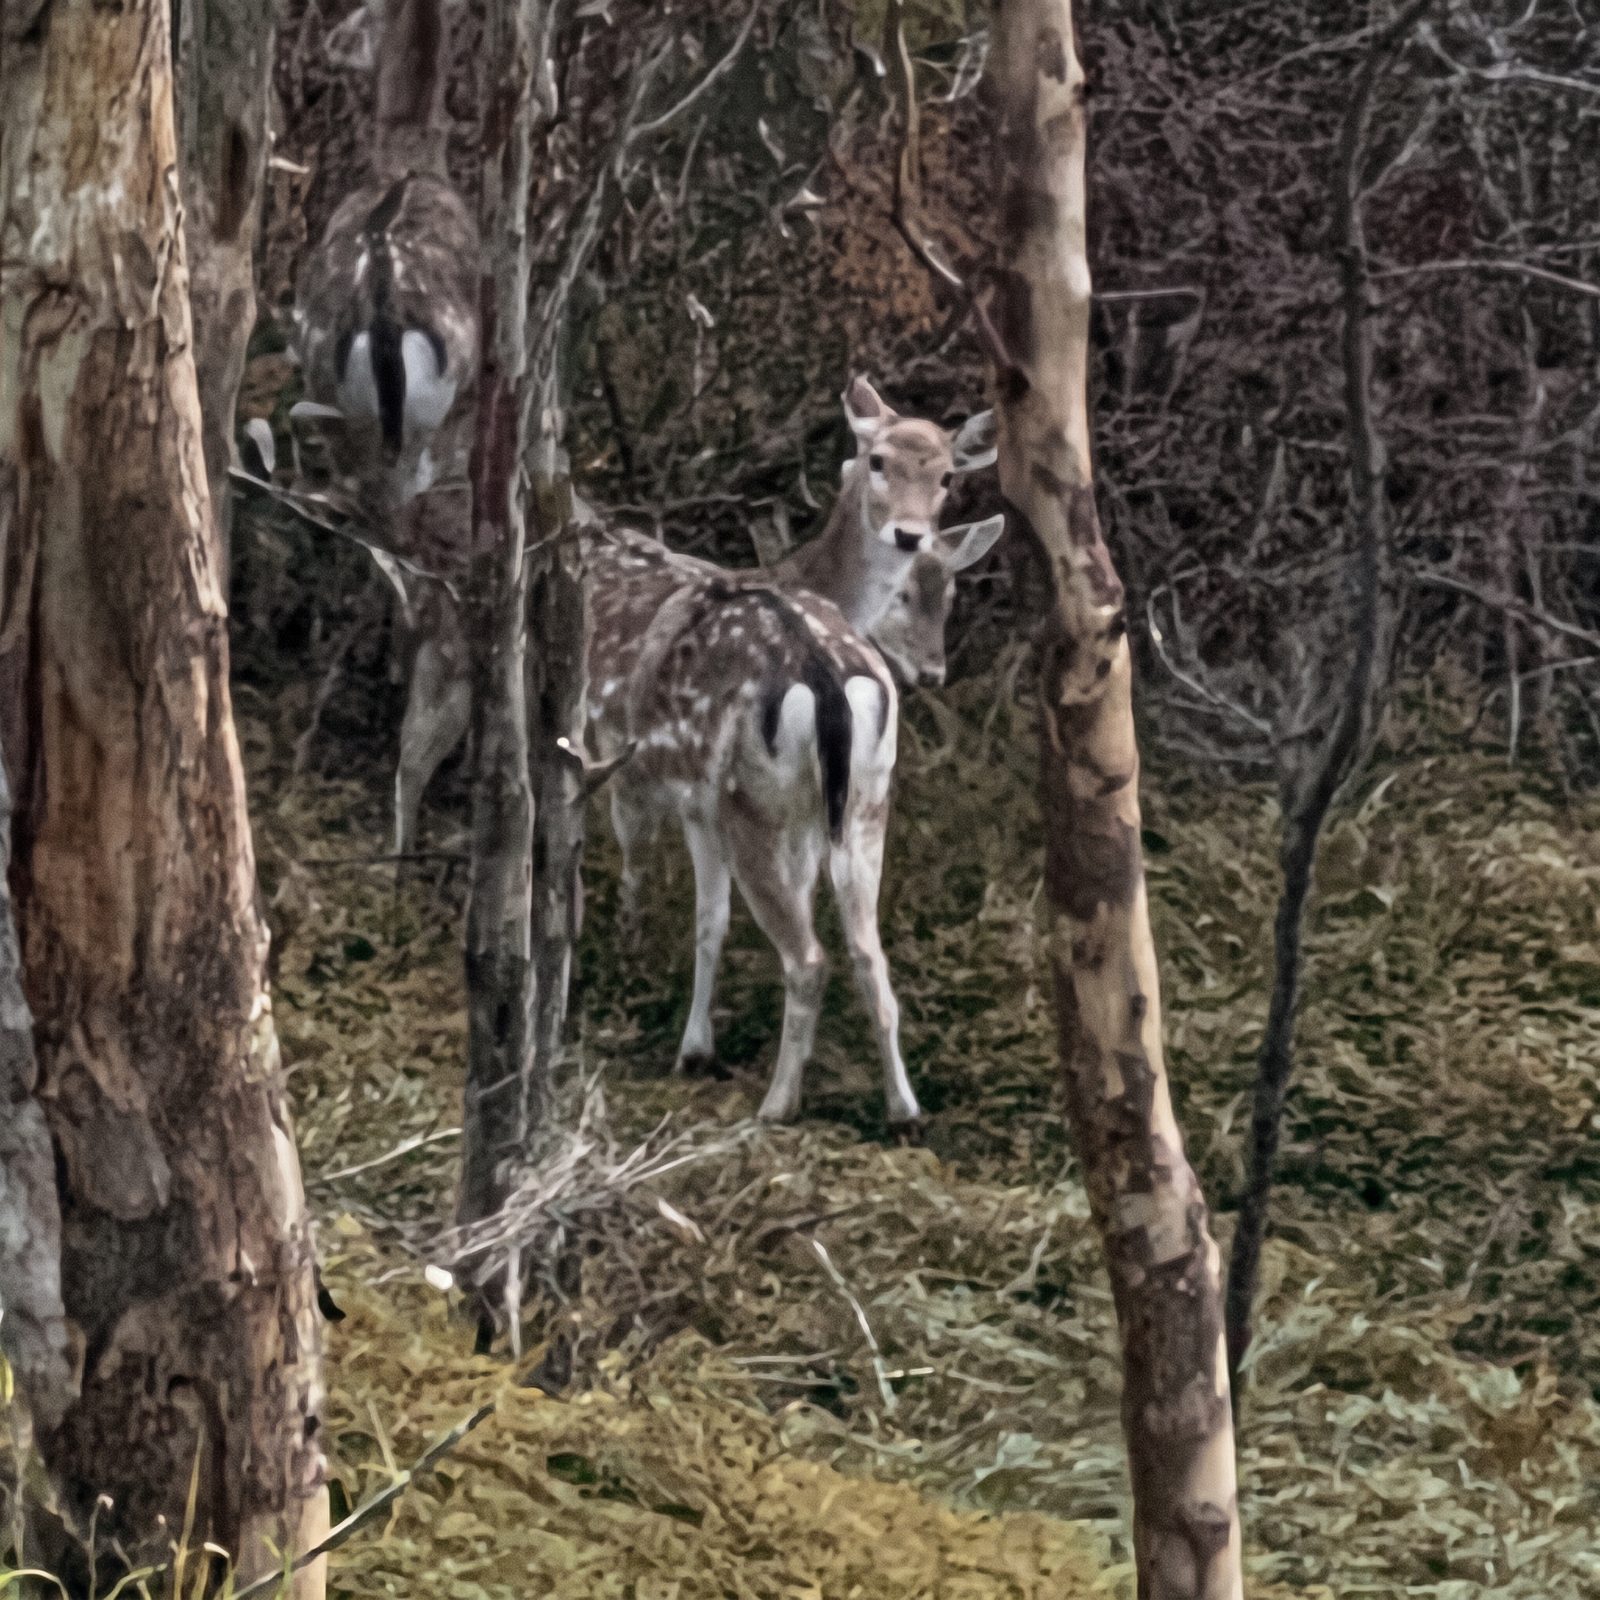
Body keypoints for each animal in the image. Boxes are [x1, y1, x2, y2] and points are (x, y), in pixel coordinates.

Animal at [582, 379, 1003, 1125]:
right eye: (877, 460)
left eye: (947, 476)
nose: (909, 533)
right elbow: (699, 911)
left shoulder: (661, 779)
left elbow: (681, 901)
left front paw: (665, 1017)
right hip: (861, 806)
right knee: (863, 952)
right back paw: (902, 1108)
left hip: (752, 801)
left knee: (810, 956)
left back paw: (778, 1102)